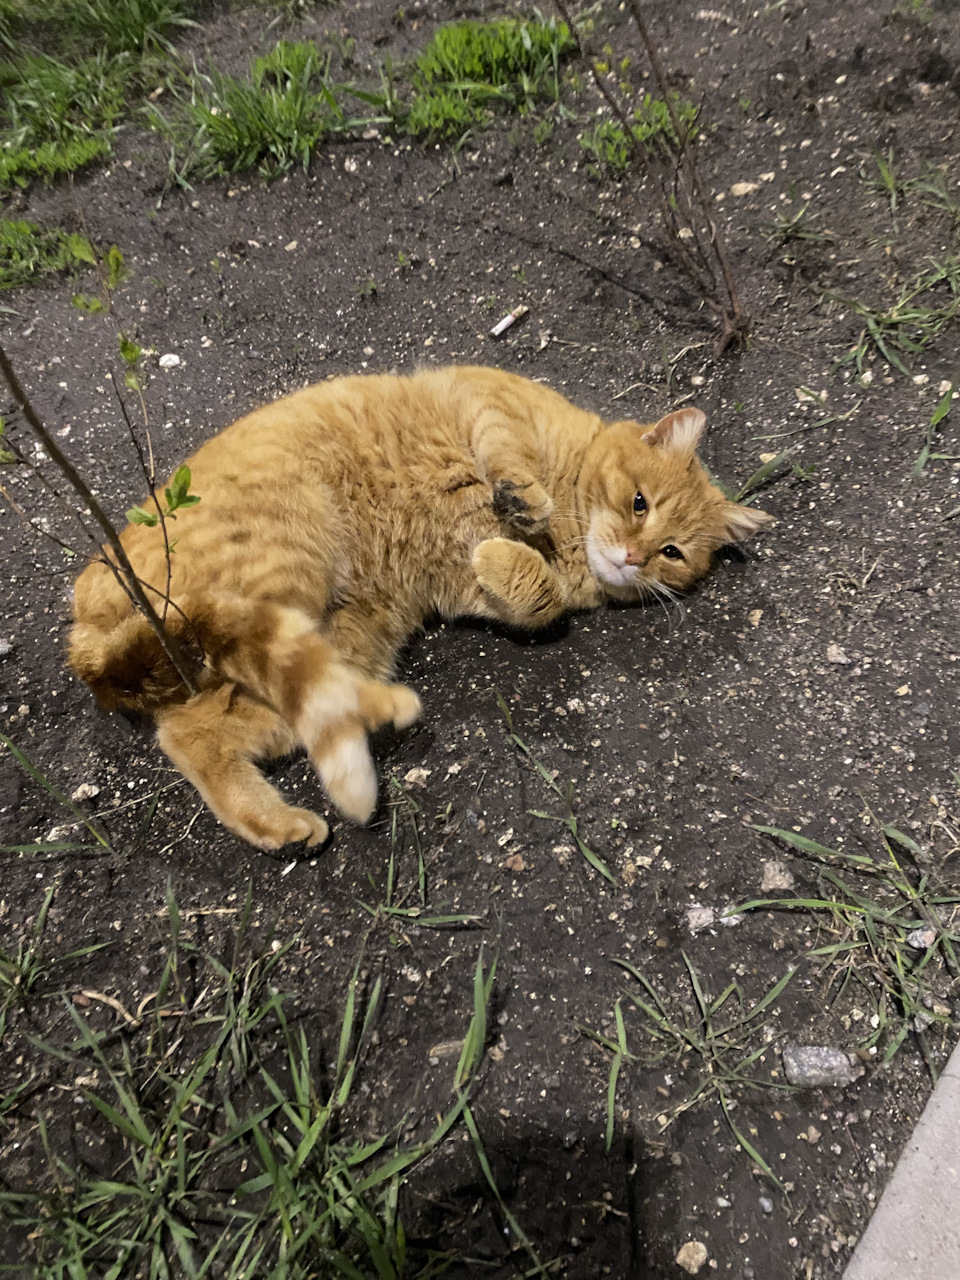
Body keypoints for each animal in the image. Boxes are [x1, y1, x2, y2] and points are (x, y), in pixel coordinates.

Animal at [67, 366, 773, 849]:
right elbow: (509, 464)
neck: (573, 531)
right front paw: (519, 507)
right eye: (639, 503)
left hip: (333, 644)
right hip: (288, 567)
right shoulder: (486, 393)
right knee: (195, 726)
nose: (632, 555)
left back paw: (292, 810)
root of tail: (85, 620)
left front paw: (504, 555)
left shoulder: (481, 594)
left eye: (673, 553)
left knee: (198, 733)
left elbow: (537, 599)